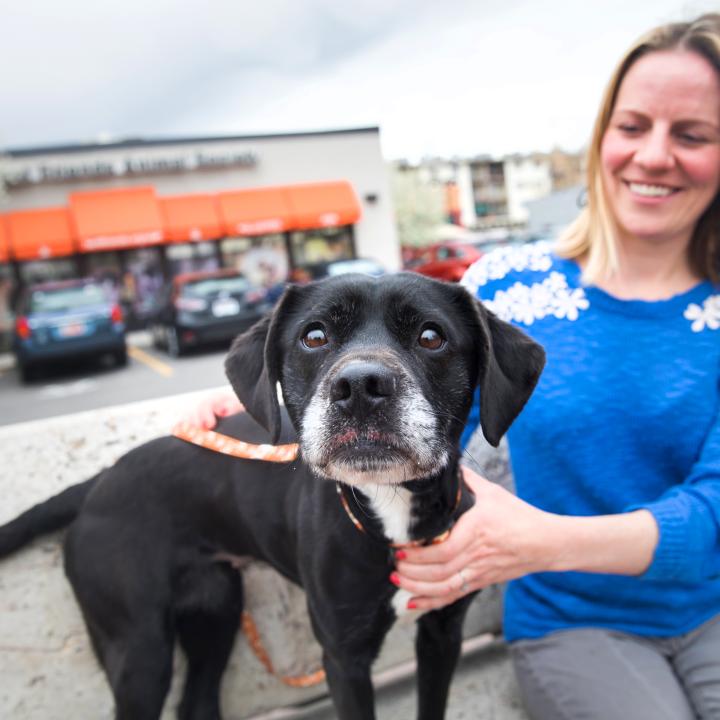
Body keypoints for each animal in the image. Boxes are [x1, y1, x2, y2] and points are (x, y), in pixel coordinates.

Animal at [0, 272, 540, 720]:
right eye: (314, 336)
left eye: (432, 337)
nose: (359, 385)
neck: (389, 512)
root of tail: (98, 480)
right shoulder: (343, 656)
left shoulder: (442, 634)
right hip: (139, 647)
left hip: (214, 611)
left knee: (197, 701)